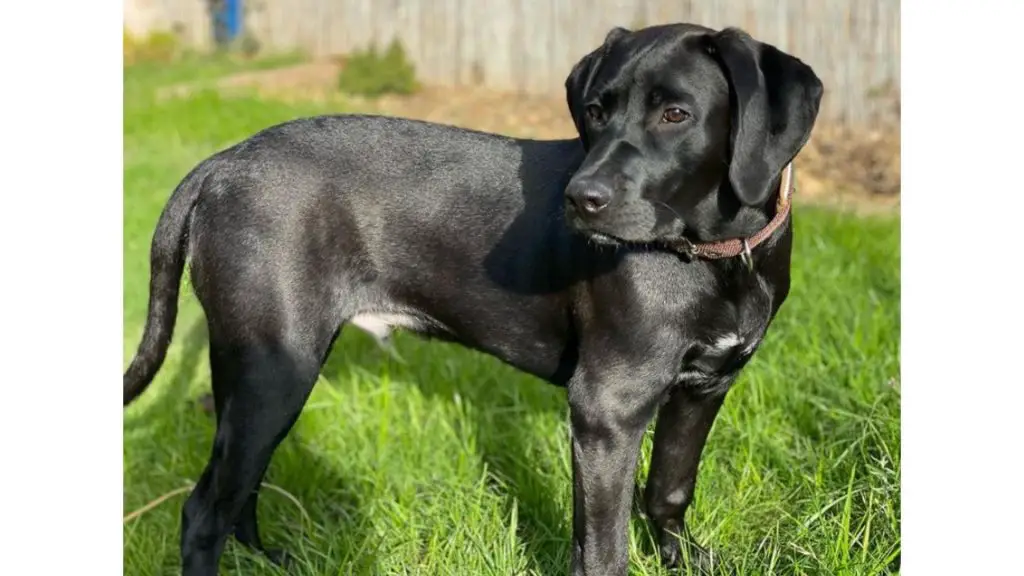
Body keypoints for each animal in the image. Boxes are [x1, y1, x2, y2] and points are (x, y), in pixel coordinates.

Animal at [121, 22, 823, 573]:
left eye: (675, 114)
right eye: (596, 111)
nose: (580, 199)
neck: (720, 257)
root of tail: (220, 164)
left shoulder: (705, 388)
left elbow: (669, 492)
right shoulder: (607, 408)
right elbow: (601, 547)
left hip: (260, 374)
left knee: (239, 489)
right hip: (274, 371)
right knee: (204, 510)